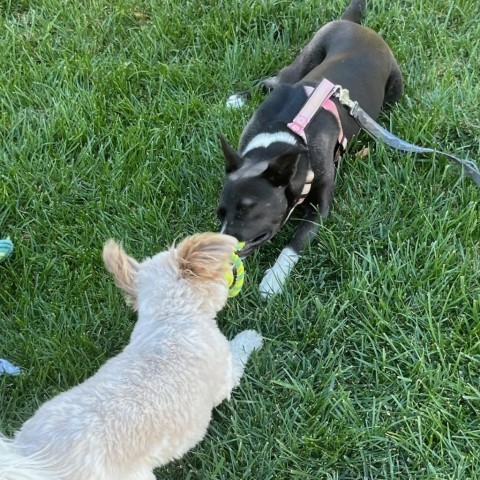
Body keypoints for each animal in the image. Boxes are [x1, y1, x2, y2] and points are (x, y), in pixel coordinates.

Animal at [219, 0, 404, 294]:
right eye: (220, 213)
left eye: (249, 209)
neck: (287, 137)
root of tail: (356, 25)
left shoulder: (321, 206)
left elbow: (297, 241)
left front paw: (274, 279)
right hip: (304, 59)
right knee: (273, 80)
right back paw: (239, 98)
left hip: (395, 90)